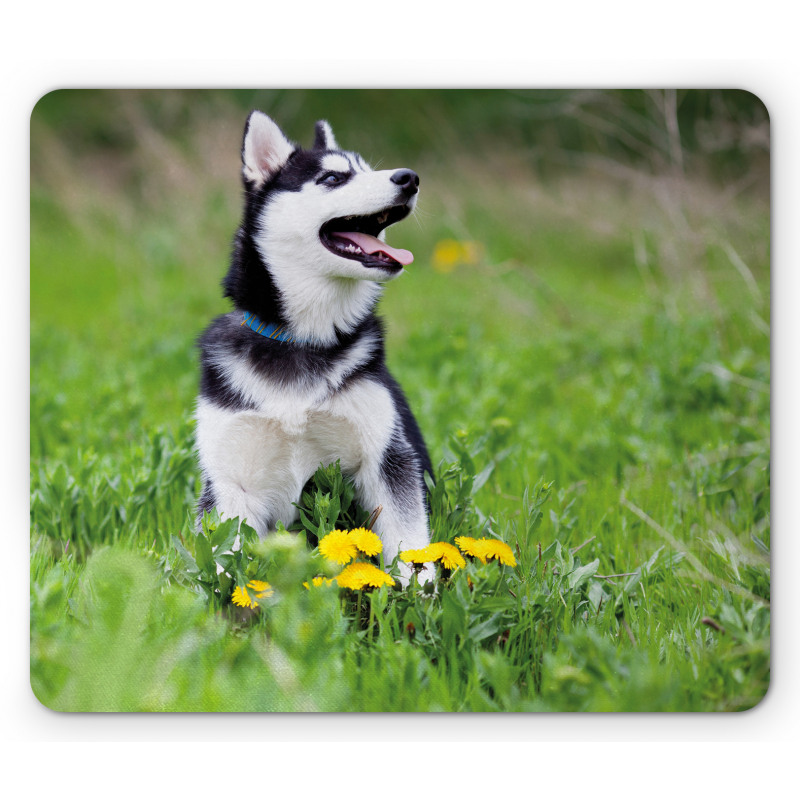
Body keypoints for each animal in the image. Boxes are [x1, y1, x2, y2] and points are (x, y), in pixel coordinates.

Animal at [194, 111, 432, 580]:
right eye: (332, 178)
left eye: (366, 168)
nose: (409, 177)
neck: (303, 338)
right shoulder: (231, 480)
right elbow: (228, 563)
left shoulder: (387, 457)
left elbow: (412, 544)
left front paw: (423, 595)